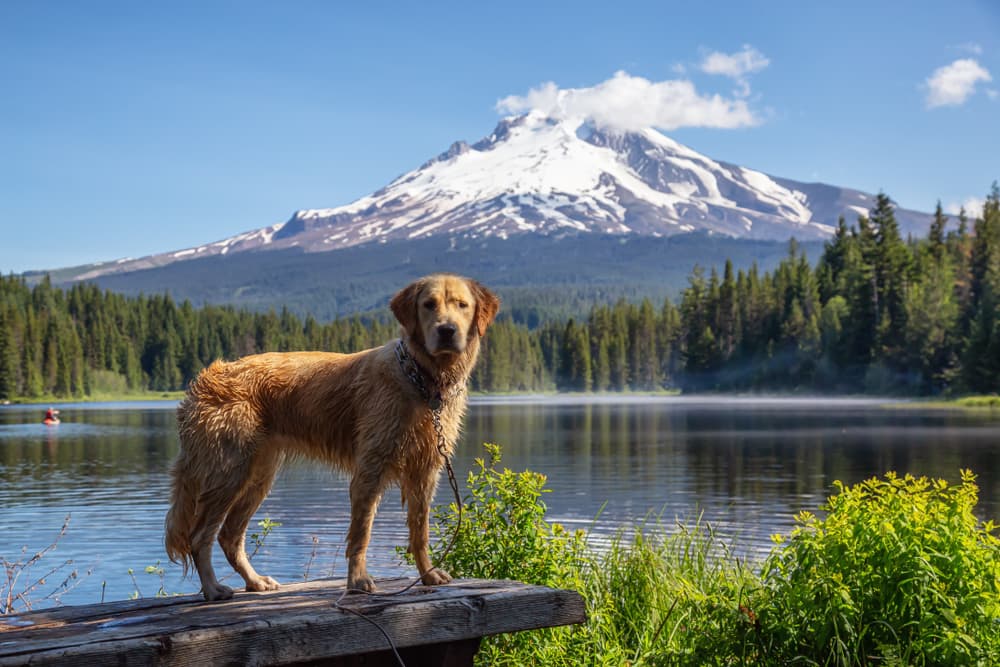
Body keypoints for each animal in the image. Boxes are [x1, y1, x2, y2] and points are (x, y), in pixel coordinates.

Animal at [163, 274, 500, 604]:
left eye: (462, 305)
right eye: (429, 304)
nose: (447, 330)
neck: (421, 378)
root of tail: (203, 381)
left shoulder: (426, 470)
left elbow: (421, 531)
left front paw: (428, 574)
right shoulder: (370, 467)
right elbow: (361, 533)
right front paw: (358, 581)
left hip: (258, 475)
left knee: (229, 536)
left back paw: (255, 581)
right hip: (227, 472)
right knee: (200, 536)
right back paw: (212, 588)